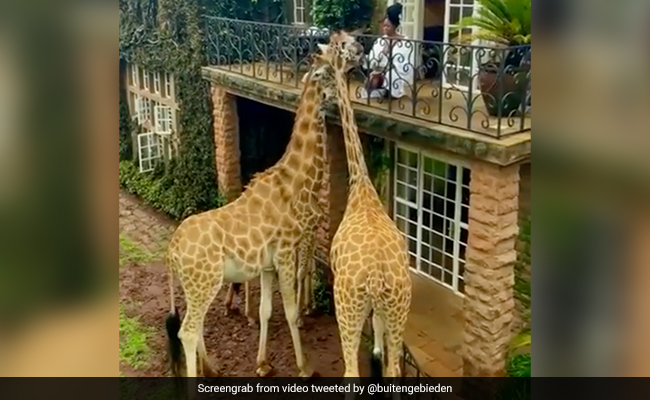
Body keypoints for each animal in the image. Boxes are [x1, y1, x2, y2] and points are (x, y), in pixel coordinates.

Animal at [164, 32, 365, 380]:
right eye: (339, 50)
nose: (362, 49)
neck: (295, 179)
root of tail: (172, 251)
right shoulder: (285, 253)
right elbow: (290, 310)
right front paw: (304, 367)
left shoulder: (269, 264)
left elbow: (266, 310)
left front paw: (262, 364)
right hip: (204, 282)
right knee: (186, 331)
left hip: (197, 286)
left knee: (195, 326)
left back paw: (212, 369)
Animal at [325, 32, 413, 379]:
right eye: (346, 42)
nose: (361, 49)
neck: (361, 185)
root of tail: (375, 278)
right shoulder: (381, 311)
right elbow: (378, 350)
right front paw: (376, 352)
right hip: (399, 306)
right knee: (394, 368)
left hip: (346, 307)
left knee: (350, 371)